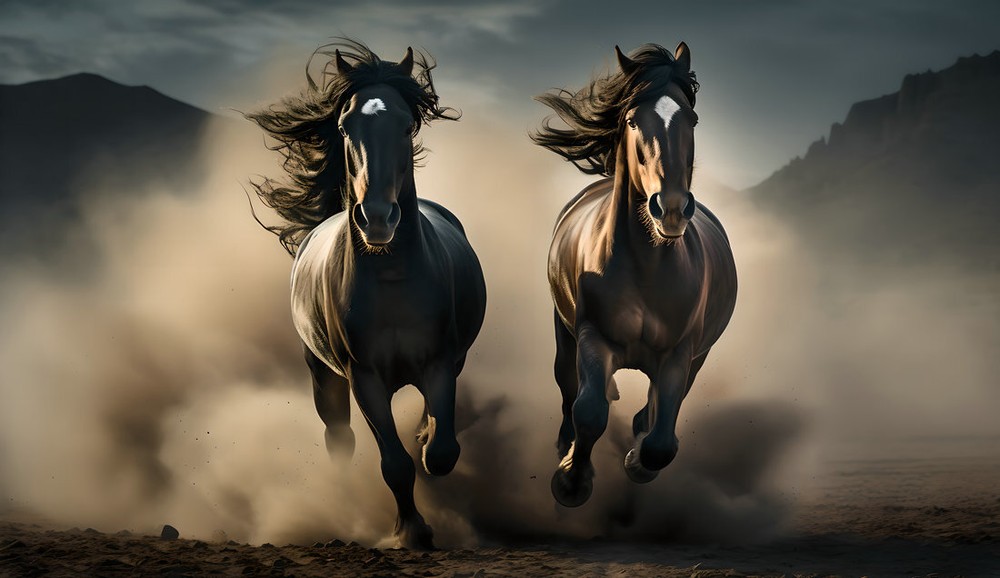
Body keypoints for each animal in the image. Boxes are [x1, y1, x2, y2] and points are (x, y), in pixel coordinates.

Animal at [247, 40, 486, 549]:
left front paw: (427, 449)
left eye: (408, 124)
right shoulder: (364, 378)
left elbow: (440, 451)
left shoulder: (440, 363)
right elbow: (394, 464)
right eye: (344, 125)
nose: (376, 218)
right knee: (340, 439)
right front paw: (412, 530)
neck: (393, 279)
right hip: (323, 374)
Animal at [532, 42, 737, 507]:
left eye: (691, 118)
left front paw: (637, 460)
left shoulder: (681, 352)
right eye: (631, 120)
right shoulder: (592, 336)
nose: (672, 208)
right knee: (569, 390)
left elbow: (661, 438)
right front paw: (571, 480)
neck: (647, 270)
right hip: (563, 333)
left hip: (698, 356)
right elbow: (589, 411)